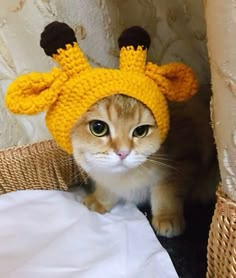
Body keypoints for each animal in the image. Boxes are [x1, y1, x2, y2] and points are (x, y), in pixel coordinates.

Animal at [70, 86, 219, 238]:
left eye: (141, 130)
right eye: (98, 128)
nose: (123, 153)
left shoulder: (182, 161)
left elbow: (166, 191)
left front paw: (167, 216)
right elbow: (107, 187)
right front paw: (101, 199)